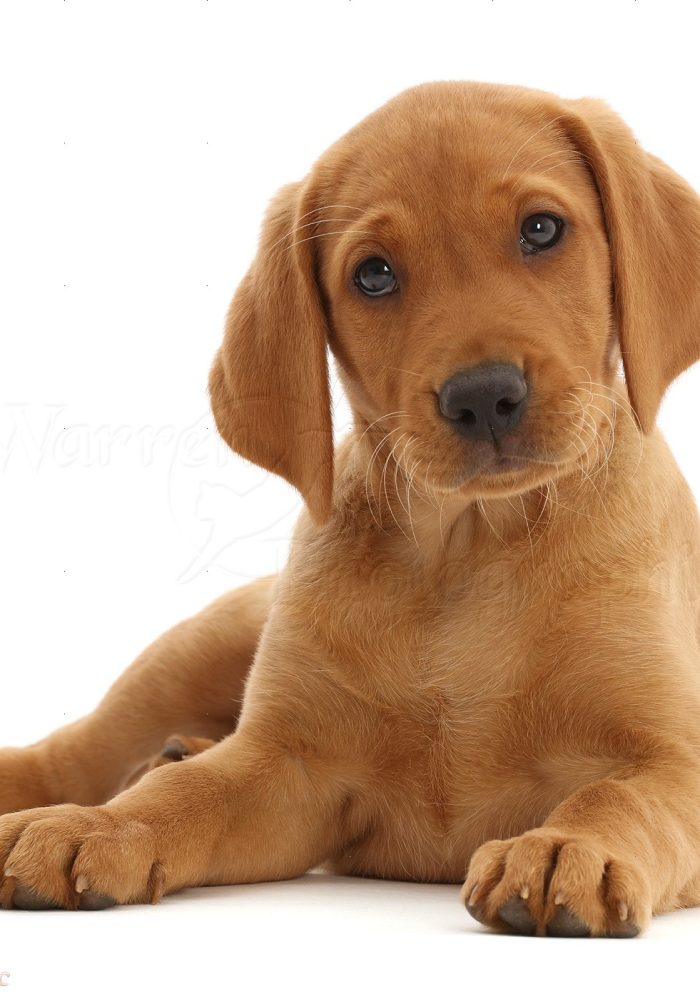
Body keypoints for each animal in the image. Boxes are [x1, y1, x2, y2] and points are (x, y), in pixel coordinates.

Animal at [1, 80, 700, 936]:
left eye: (541, 229)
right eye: (373, 275)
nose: (482, 397)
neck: (471, 545)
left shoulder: (673, 758)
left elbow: (617, 795)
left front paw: (567, 847)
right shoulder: (286, 766)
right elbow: (182, 794)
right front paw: (96, 826)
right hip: (195, 646)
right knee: (79, 748)